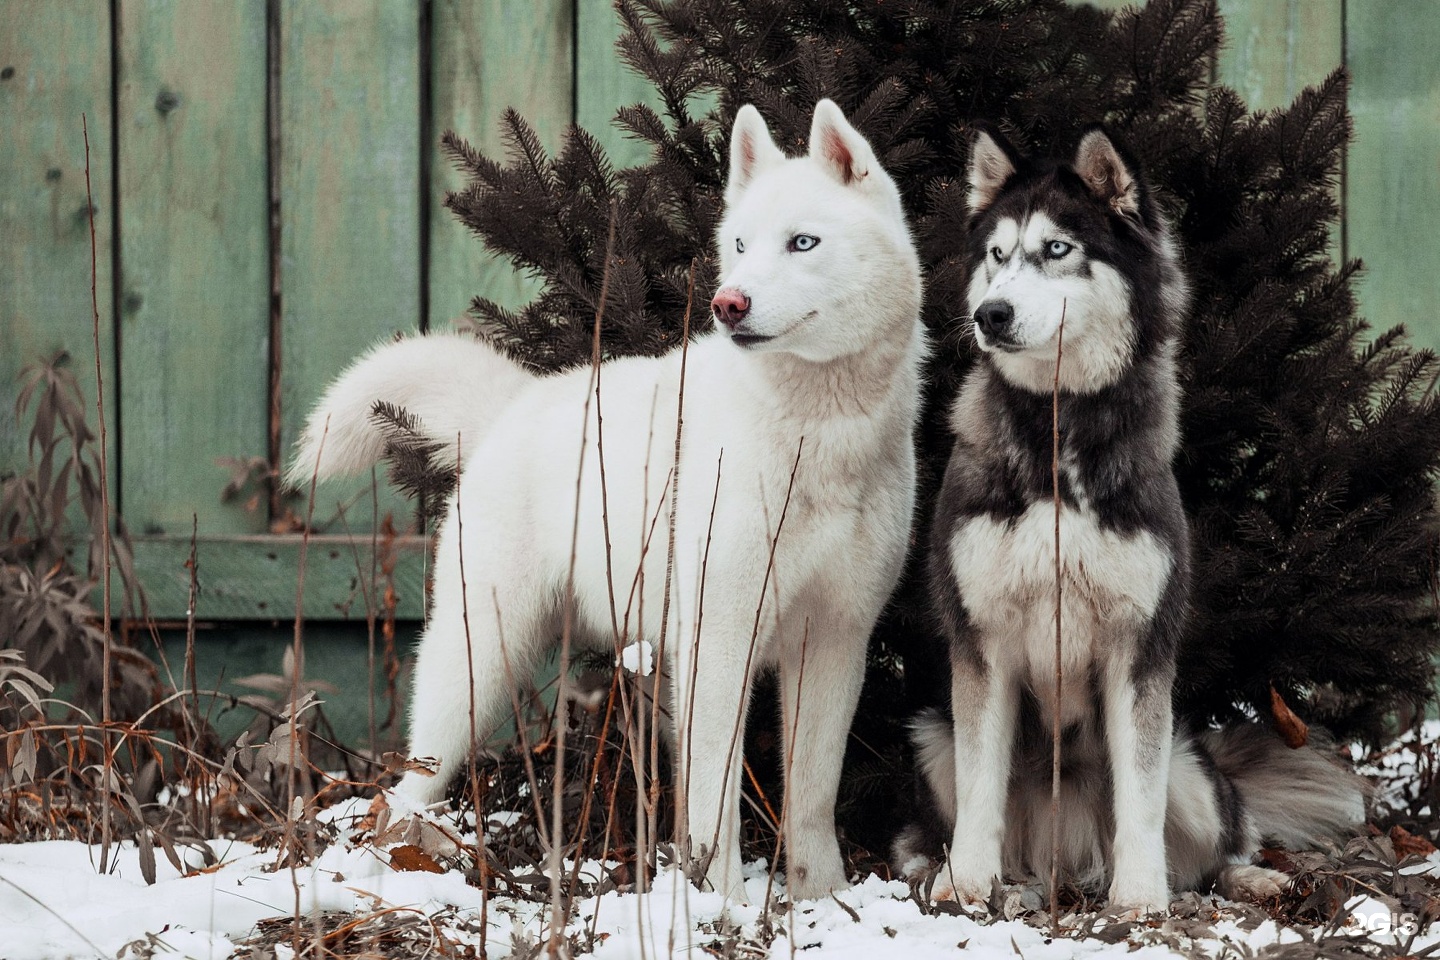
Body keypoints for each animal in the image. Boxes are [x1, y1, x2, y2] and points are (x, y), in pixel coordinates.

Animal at [288, 101, 927, 903]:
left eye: (801, 242)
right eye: (740, 245)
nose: (728, 303)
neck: (819, 438)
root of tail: (516, 404)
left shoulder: (837, 639)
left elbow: (810, 795)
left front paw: (825, 899)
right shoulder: (721, 636)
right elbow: (713, 792)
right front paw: (722, 900)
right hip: (477, 665)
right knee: (405, 786)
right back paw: (388, 866)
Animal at [892, 123, 1365, 915]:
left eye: (1058, 249)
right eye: (997, 256)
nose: (991, 315)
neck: (1058, 444)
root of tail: (1066, 858)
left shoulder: (1140, 646)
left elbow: (1138, 798)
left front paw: (1140, 897)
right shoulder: (981, 642)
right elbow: (983, 788)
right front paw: (968, 884)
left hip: (1188, 762)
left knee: (1215, 845)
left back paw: (1248, 876)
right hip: (932, 737)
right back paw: (987, 880)